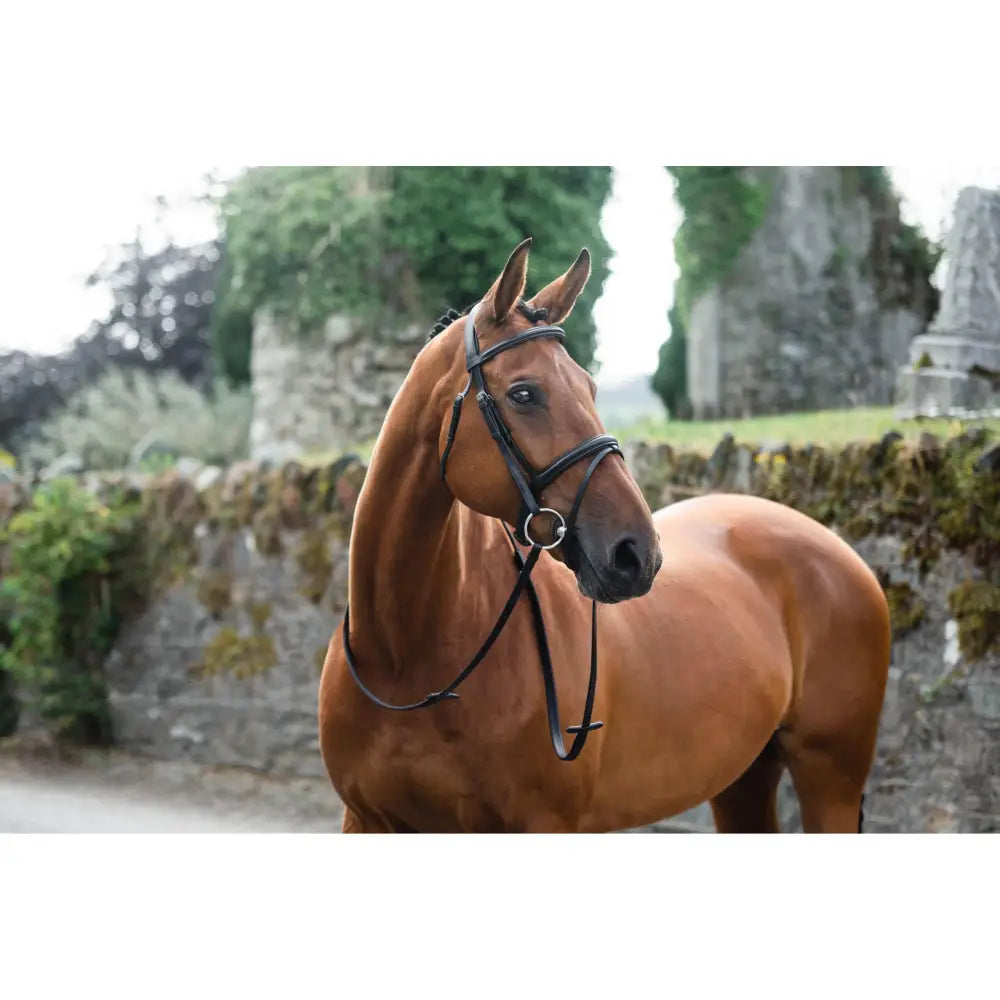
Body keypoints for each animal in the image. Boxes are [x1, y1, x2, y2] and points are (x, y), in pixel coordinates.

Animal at [318, 238, 891, 833]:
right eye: (524, 393)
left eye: (590, 387)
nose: (637, 553)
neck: (405, 657)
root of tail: (839, 550)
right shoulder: (364, 821)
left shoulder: (544, 823)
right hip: (743, 781)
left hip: (831, 780)